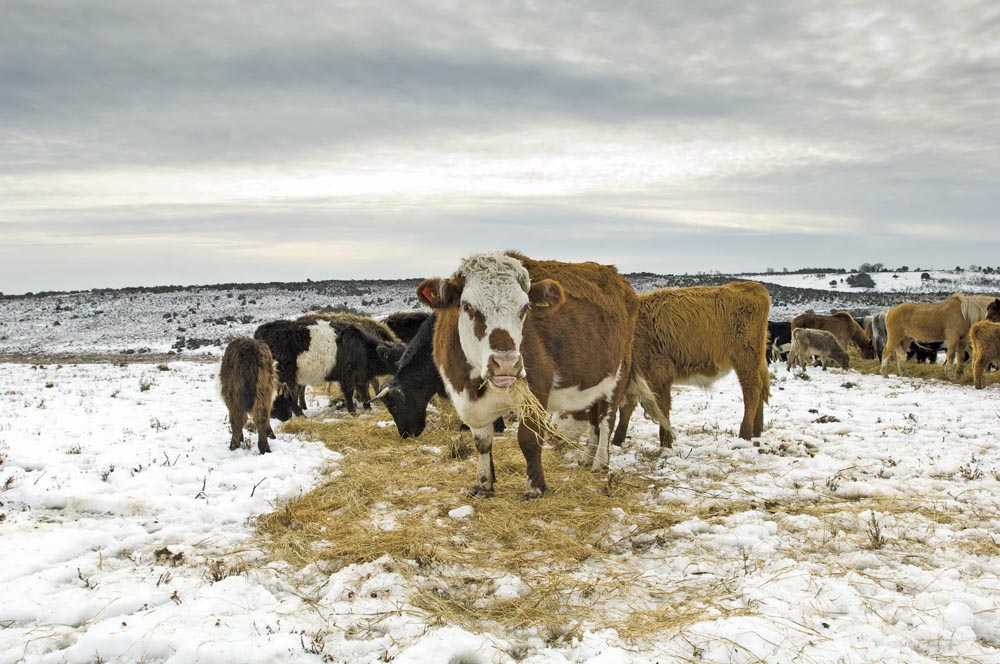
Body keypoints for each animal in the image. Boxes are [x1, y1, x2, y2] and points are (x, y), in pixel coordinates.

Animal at [254, 318, 405, 419]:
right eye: (397, 358)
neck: (362, 348)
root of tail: (263, 330)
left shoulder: (361, 375)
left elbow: (364, 390)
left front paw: (367, 407)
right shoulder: (347, 374)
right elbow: (349, 392)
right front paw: (352, 411)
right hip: (287, 375)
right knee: (290, 394)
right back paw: (299, 414)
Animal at [417, 251, 638, 499]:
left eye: (524, 308)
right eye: (467, 306)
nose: (506, 363)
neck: (472, 382)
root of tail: (616, 276)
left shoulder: (537, 388)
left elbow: (529, 438)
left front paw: (534, 487)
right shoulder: (464, 396)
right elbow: (482, 441)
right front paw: (483, 484)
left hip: (619, 373)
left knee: (606, 418)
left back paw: (600, 462)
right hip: (593, 380)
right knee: (593, 417)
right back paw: (588, 457)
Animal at [611, 282, 770, 448]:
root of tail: (749, 285)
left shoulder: (658, 374)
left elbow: (662, 408)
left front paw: (666, 443)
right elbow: (626, 409)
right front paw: (617, 441)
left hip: (746, 359)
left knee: (752, 390)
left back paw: (745, 435)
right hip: (756, 360)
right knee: (760, 390)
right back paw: (757, 431)